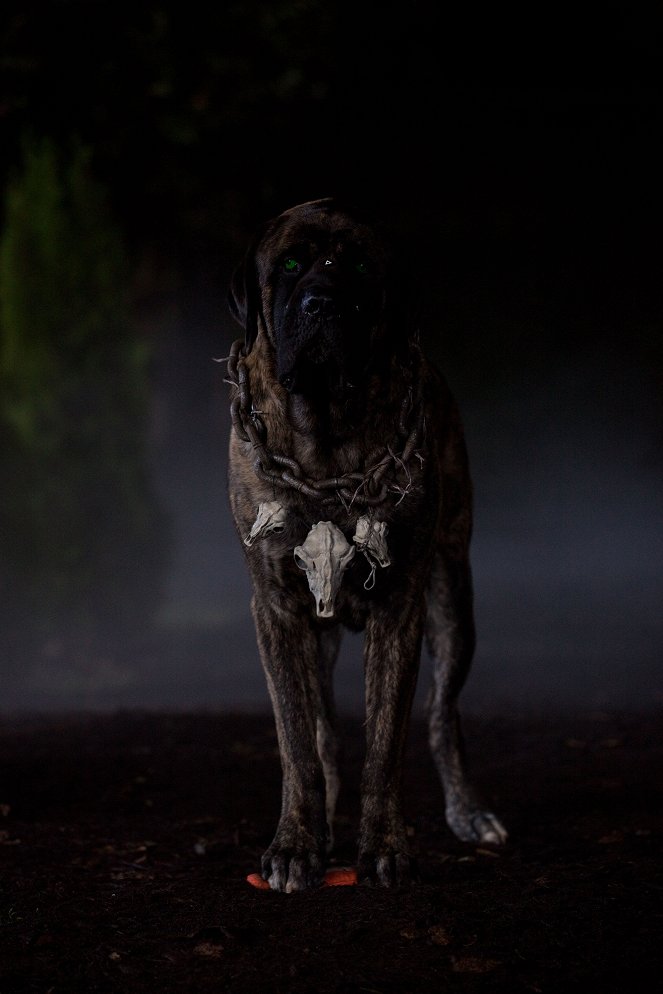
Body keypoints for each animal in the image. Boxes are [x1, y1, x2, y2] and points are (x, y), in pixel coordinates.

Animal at [226, 196, 506, 892]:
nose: (322, 302)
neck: (326, 440)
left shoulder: (400, 606)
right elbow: (298, 738)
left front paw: (383, 845)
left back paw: (470, 813)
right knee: (324, 731)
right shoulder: (277, 608)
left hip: (452, 603)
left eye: (356, 266)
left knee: (442, 716)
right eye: (290, 265)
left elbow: (386, 742)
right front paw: (296, 844)